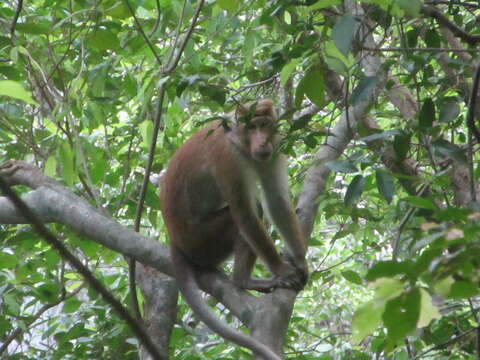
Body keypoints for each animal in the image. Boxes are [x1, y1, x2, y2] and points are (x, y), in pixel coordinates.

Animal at [158, 98, 308, 360]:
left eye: (264, 125)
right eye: (251, 127)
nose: (262, 141)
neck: (239, 143)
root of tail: (175, 241)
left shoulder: (275, 147)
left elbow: (277, 201)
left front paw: (301, 261)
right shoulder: (227, 158)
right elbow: (245, 213)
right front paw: (282, 270)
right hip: (203, 241)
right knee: (246, 214)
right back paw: (243, 281)